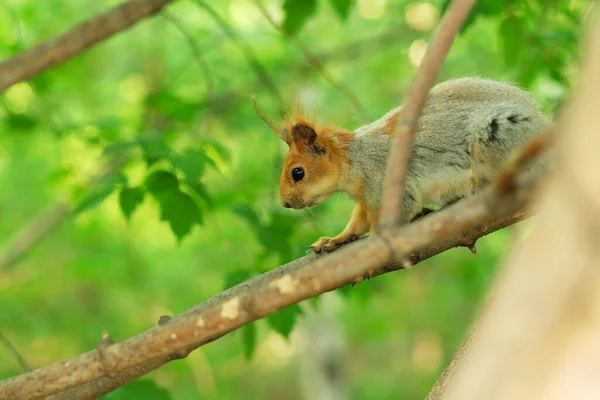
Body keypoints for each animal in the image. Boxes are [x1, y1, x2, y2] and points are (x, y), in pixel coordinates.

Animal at [251, 77, 552, 253]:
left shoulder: (383, 182)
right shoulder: (366, 198)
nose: (285, 203)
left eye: (297, 172)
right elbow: (357, 222)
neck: (354, 159)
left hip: (498, 135)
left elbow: (389, 218)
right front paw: (336, 239)